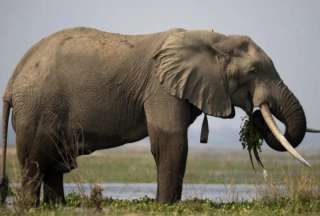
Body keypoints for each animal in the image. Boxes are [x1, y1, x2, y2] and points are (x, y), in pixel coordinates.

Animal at [0, 27, 318, 204]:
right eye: (253, 71)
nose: (257, 115)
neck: (216, 39)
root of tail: (13, 79)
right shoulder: (161, 88)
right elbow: (170, 141)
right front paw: (166, 206)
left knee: (53, 164)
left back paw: (57, 207)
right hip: (36, 108)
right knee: (35, 164)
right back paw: (32, 207)